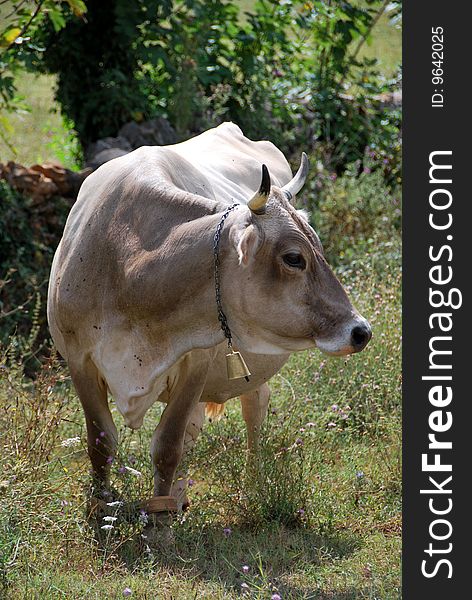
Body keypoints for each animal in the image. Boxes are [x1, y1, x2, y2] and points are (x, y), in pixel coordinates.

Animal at [48, 122, 372, 540]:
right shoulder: (80, 361)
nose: (360, 330)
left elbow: (168, 444)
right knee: (194, 430)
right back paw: (180, 497)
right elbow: (101, 443)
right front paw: (102, 509)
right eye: (293, 258)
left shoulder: (195, 364)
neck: (128, 266)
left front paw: (160, 522)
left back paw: (249, 487)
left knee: (252, 412)